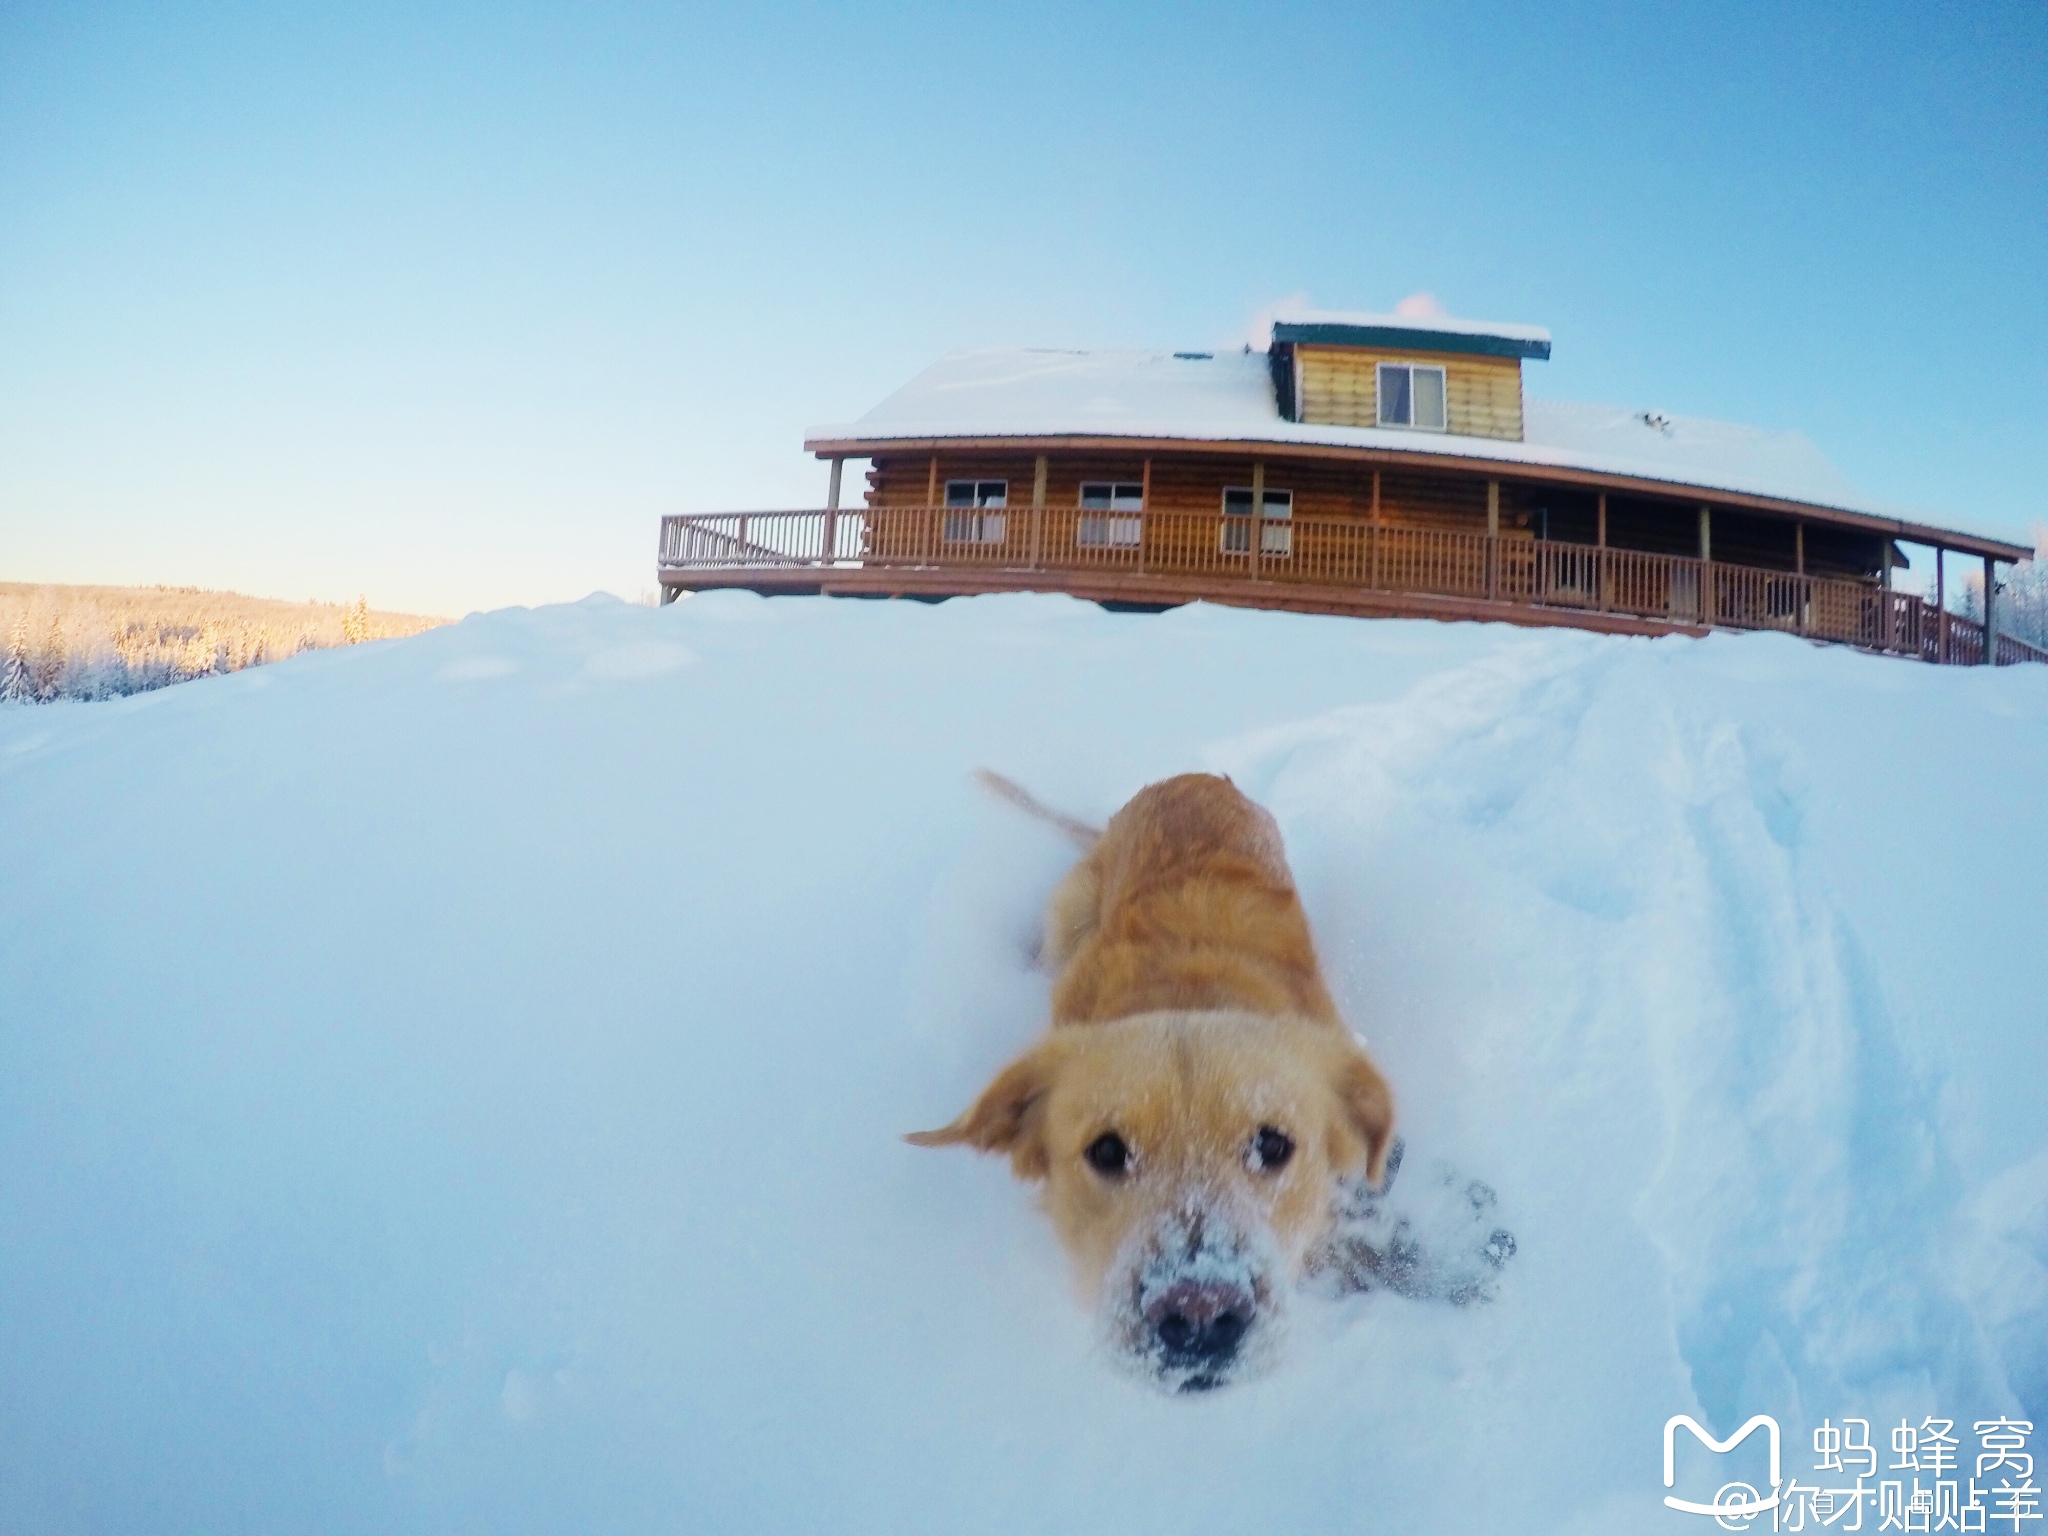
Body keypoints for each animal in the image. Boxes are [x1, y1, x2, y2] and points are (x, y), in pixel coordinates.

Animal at [909, 774, 1392, 1392]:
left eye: (1273, 1145)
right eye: (1107, 1151)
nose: (1200, 1313)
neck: (1187, 994)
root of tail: (1185, 778)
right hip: (1066, 912)